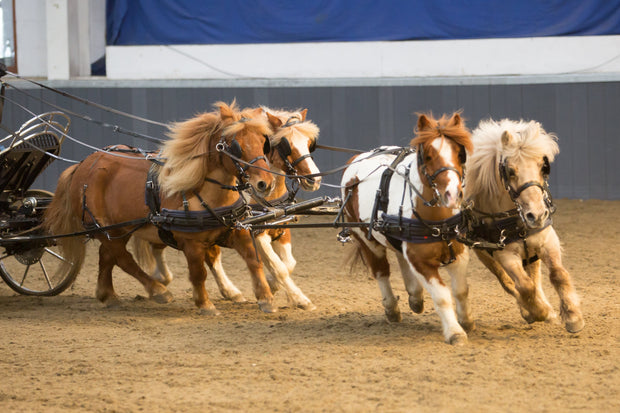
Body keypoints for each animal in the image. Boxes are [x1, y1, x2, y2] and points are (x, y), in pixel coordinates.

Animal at [43, 100, 276, 312]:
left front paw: (265, 299)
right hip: (104, 228)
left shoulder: (234, 229)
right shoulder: (190, 242)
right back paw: (158, 291)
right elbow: (198, 273)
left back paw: (107, 295)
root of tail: (81, 165)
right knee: (122, 258)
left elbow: (253, 259)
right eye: (236, 146)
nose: (266, 183)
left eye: (263, 142)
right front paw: (205, 304)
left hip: (119, 229)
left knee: (107, 256)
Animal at [133, 106, 322, 308]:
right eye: (285, 145)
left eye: (310, 143)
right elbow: (279, 267)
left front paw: (277, 288)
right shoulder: (255, 231)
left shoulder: (281, 227)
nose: (315, 179)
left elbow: (289, 263)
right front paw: (295, 296)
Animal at [342, 112, 472, 344]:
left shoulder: (459, 253)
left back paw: (415, 296)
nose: (452, 194)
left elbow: (460, 290)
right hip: (365, 238)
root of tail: (355, 160)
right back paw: (391, 308)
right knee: (381, 270)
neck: (437, 221)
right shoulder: (421, 262)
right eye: (427, 156)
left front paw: (466, 322)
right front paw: (455, 332)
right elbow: (442, 296)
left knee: (399, 256)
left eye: (460, 153)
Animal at [464, 118, 588, 332]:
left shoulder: (547, 241)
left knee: (534, 276)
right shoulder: (505, 254)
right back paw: (531, 310)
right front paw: (540, 311)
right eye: (510, 171)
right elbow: (523, 286)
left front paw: (573, 316)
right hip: (483, 253)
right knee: (508, 282)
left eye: (542, 166)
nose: (536, 215)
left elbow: (558, 274)